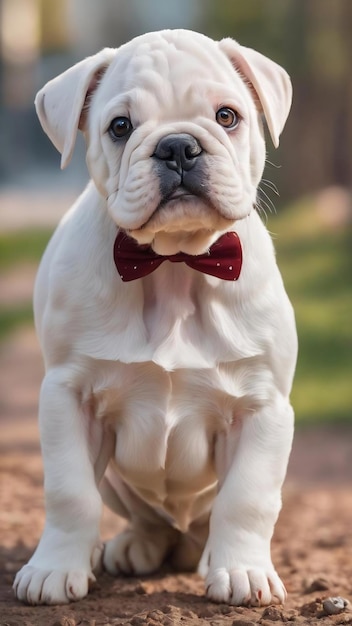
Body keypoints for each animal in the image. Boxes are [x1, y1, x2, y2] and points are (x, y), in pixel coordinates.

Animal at [15, 29, 298, 604]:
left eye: (227, 116)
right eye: (120, 127)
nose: (177, 146)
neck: (173, 263)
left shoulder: (264, 407)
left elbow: (248, 498)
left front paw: (243, 571)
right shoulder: (67, 396)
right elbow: (69, 492)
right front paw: (53, 568)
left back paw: (210, 557)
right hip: (117, 483)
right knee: (149, 520)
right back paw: (132, 548)